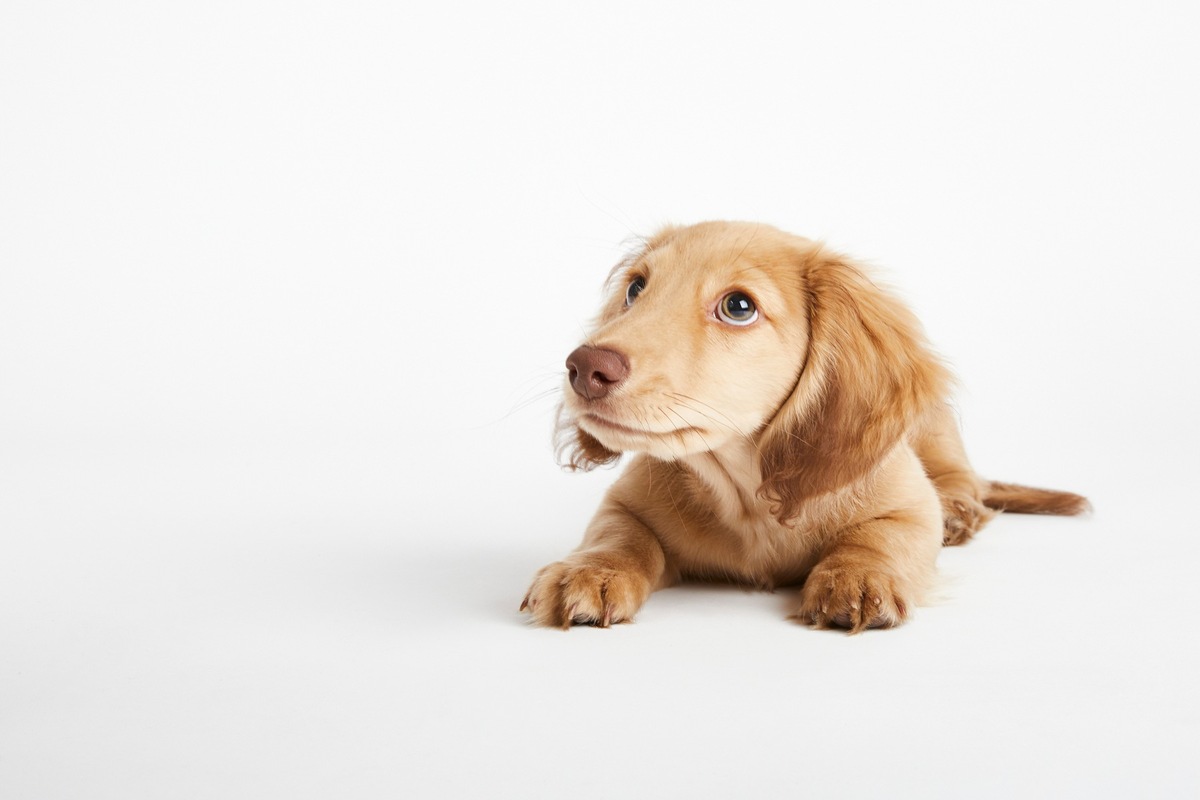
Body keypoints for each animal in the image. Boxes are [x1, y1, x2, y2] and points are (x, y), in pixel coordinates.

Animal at [520, 220, 1084, 633]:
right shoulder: (626, 504)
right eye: (636, 288)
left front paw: (858, 575)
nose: (584, 368)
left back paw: (960, 512)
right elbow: (619, 534)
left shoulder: (909, 507)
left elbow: (880, 535)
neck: (747, 490)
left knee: (961, 479)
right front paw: (590, 569)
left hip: (937, 431)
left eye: (738, 306)